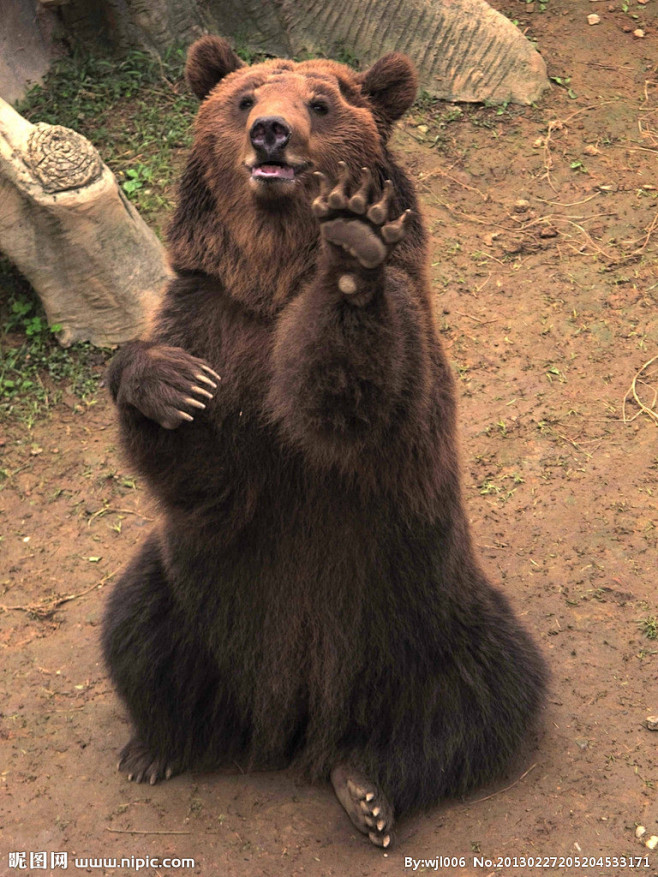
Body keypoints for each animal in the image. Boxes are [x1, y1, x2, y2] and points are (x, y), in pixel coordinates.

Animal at [101, 36, 544, 848]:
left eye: (322, 102)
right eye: (244, 97)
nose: (269, 133)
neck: (271, 280)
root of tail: (292, 723)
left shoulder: (401, 357)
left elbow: (354, 399)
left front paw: (351, 245)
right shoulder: (210, 316)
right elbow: (205, 472)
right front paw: (164, 382)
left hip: (422, 616)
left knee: (486, 692)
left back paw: (368, 786)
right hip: (196, 597)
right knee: (137, 630)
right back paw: (158, 745)